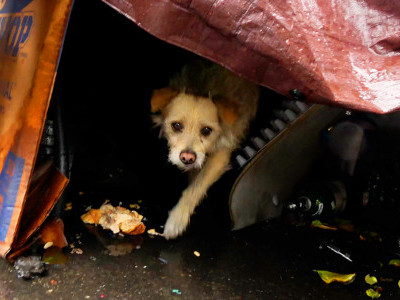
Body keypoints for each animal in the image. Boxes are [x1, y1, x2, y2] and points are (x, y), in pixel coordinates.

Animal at [151, 61, 260, 239]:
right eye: (176, 125)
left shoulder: (220, 156)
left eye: (207, 130)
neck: (201, 86)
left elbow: (195, 188)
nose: (187, 157)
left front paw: (177, 219)